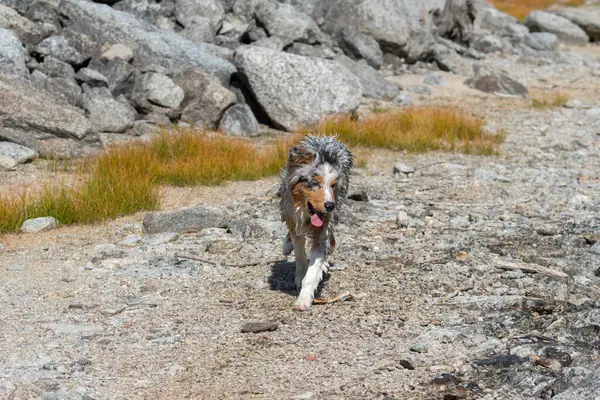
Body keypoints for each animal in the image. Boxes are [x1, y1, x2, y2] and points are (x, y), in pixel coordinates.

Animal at [278, 134, 354, 310]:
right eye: (314, 183)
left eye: (333, 185)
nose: (330, 205)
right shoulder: (295, 221)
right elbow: (300, 254)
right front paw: (300, 277)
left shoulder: (323, 231)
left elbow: (313, 271)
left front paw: (304, 299)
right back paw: (287, 246)